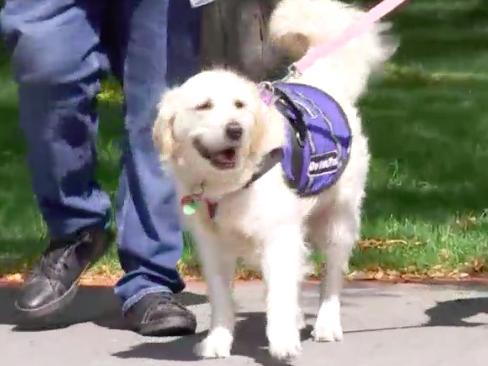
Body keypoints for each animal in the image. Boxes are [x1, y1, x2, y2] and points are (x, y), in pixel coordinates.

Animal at [152, 0, 396, 360]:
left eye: (239, 105)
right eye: (204, 106)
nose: (235, 129)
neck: (230, 184)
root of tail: (321, 80)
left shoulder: (278, 237)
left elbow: (279, 295)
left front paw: (282, 342)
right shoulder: (213, 247)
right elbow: (222, 299)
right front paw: (218, 340)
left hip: (337, 221)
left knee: (331, 280)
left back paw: (326, 325)